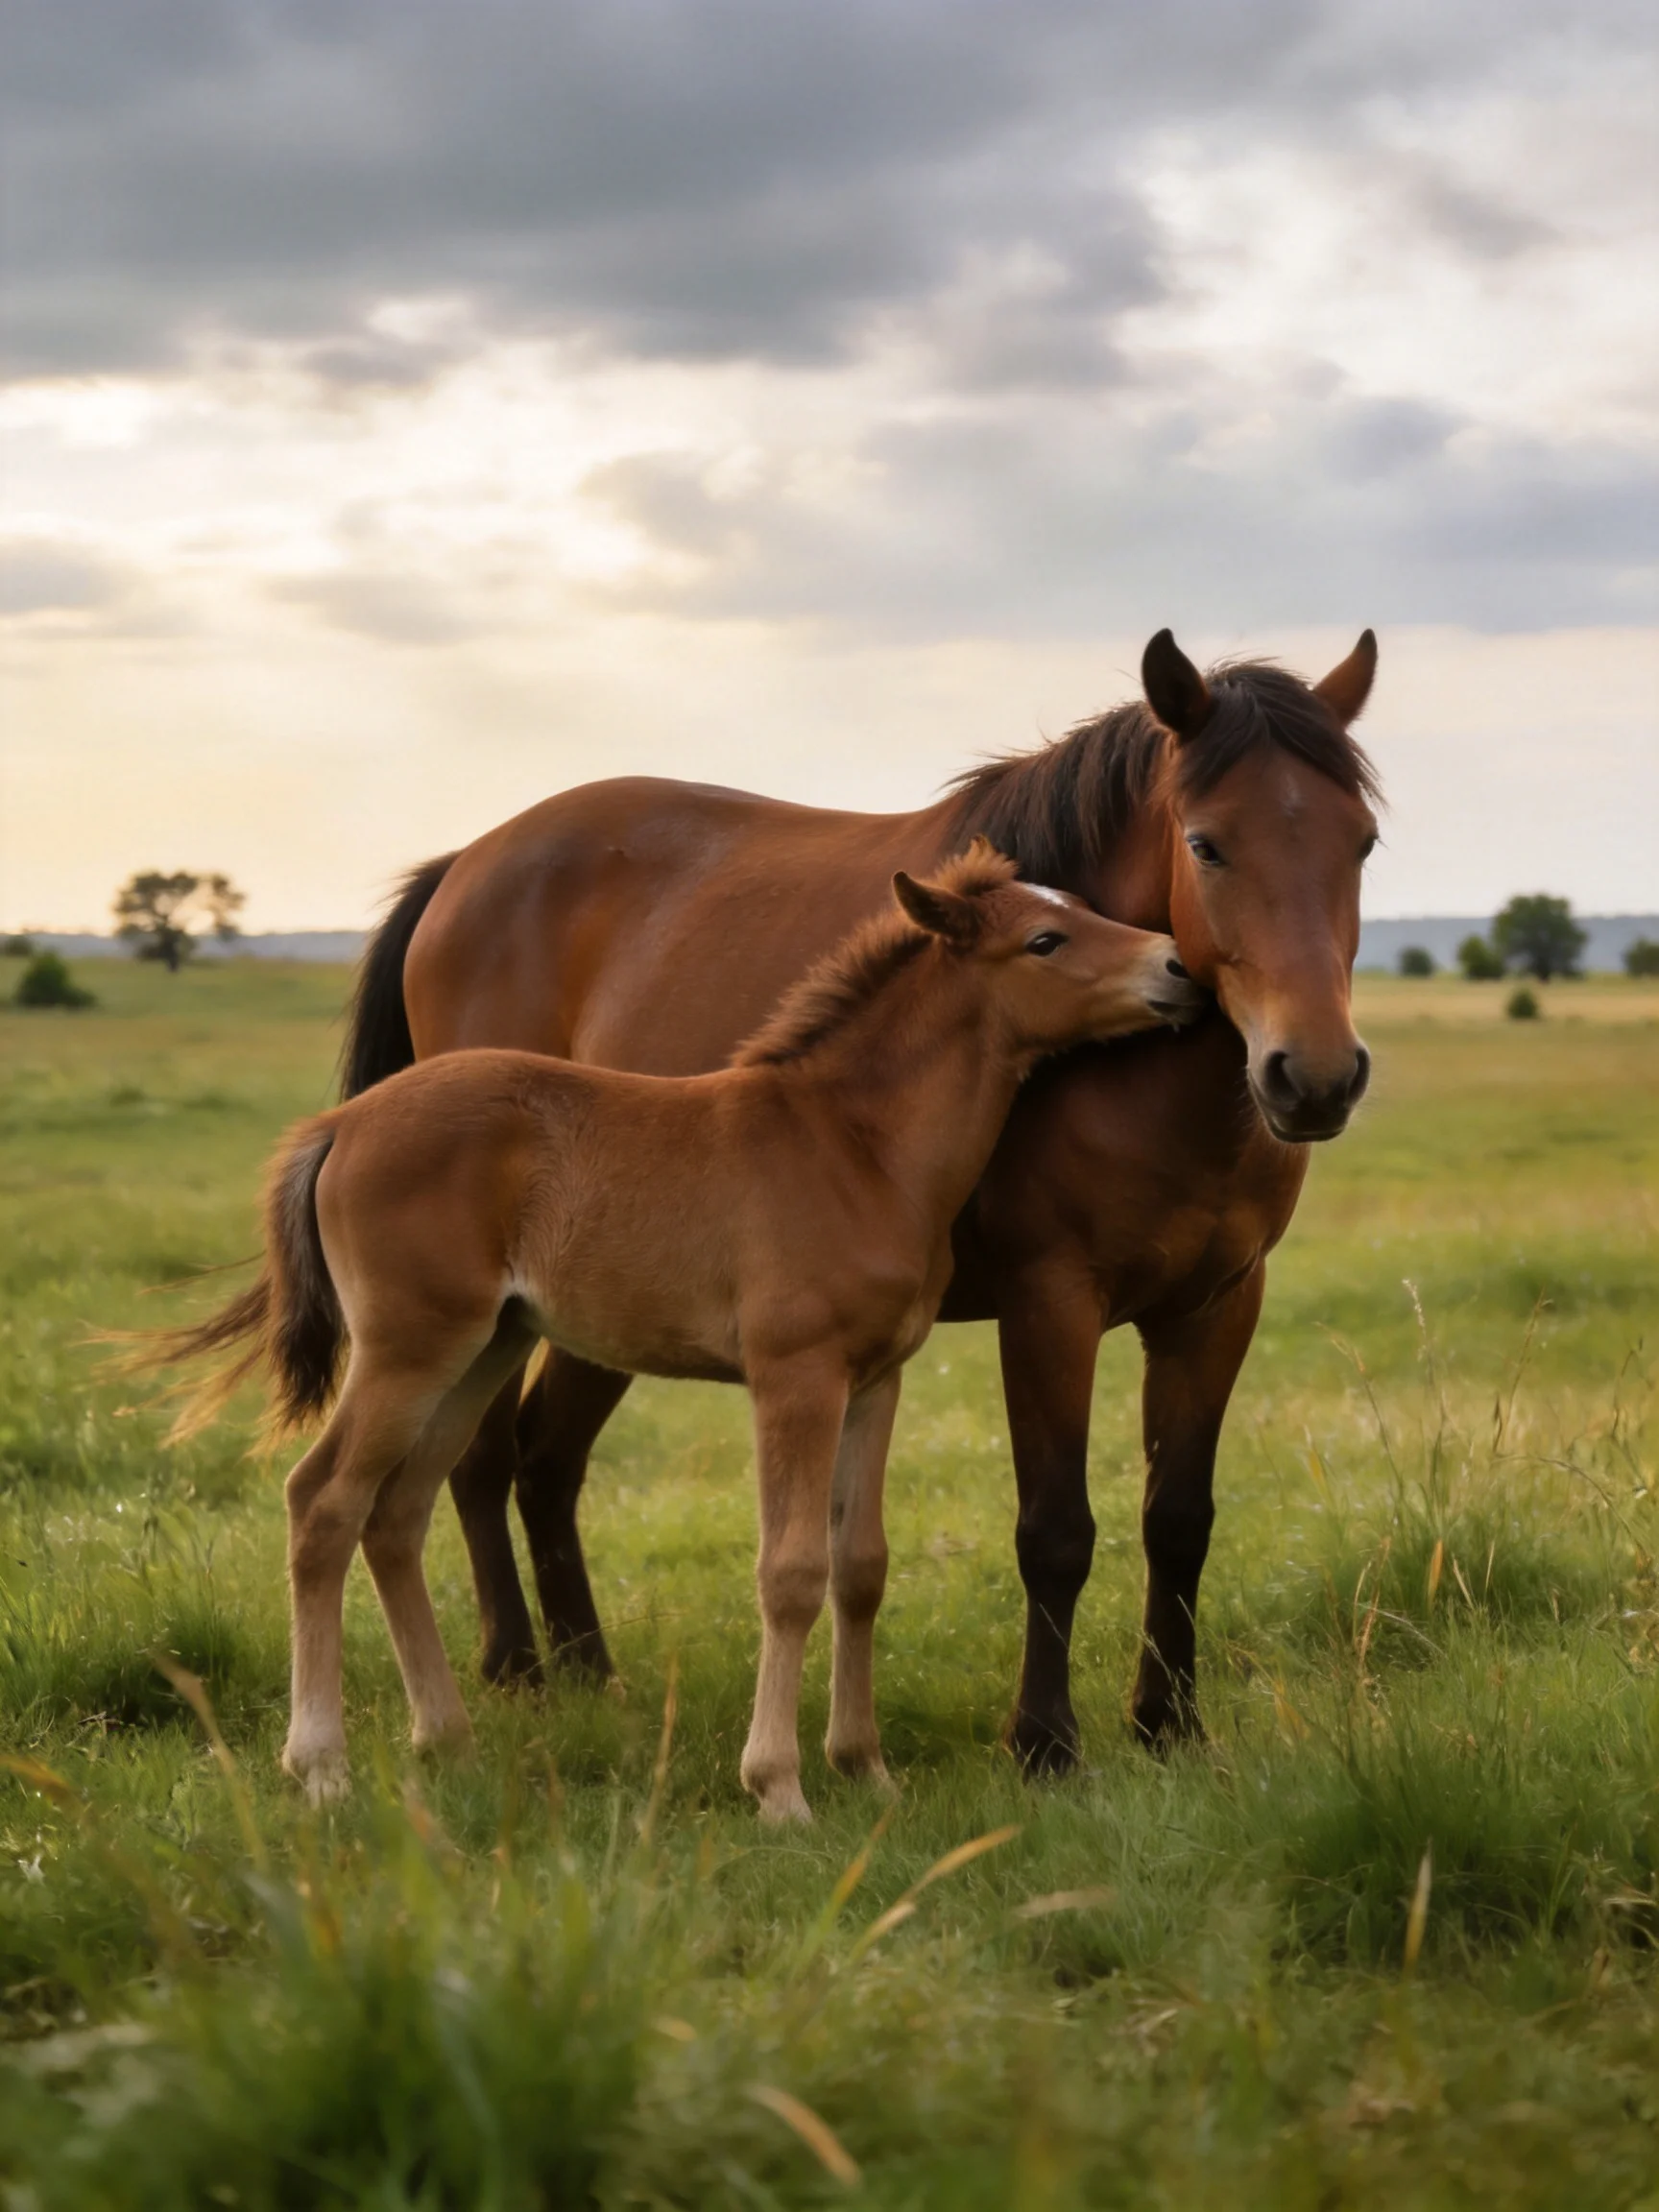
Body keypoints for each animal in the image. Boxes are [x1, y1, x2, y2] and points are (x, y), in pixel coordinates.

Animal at [159, 849, 1201, 1814]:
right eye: (1046, 940)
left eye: (1083, 909)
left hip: (483, 1348)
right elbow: (791, 1570)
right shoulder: (794, 1376)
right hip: (408, 1348)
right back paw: (321, 1766)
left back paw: (447, 1742)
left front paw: (866, 1771)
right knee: (323, 1500)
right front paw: (778, 1787)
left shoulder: (877, 1377)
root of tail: (338, 1124)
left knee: (398, 1511)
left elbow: (860, 1566)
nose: (1180, 966)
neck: (854, 1146)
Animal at [343, 627, 1381, 1770]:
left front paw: (1168, 1724)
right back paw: (516, 1669)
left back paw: (586, 1676)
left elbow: (1179, 1518)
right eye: (1207, 844)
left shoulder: (1217, 1305)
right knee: (484, 1459)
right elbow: (1056, 1527)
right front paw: (1043, 1743)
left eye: (1364, 843)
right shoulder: (1049, 1303)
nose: (1315, 1077)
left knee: (543, 1458)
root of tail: (464, 868)